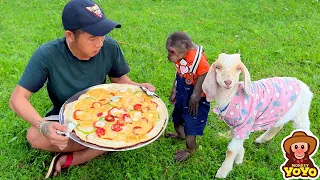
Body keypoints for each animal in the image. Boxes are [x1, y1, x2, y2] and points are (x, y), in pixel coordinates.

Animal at [165, 31, 210, 162]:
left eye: (171, 51)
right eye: (168, 51)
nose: (168, 57)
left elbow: (204, 74)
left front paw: (193, 99)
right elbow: (177, 75)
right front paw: (173, 94)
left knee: (190, 129)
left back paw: (189, 151)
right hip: (179, 110)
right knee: (177, 120)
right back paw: (179, 136)